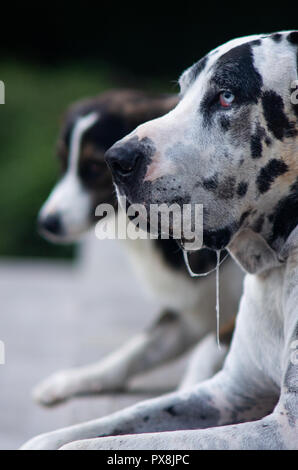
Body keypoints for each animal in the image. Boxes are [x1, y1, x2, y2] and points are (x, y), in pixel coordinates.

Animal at [34, 90, 242, 406]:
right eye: (62, 163)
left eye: (93, 168)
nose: (47, 222)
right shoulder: (191, 306)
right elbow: (137, 350)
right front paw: (78, 379)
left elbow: (208, 349)